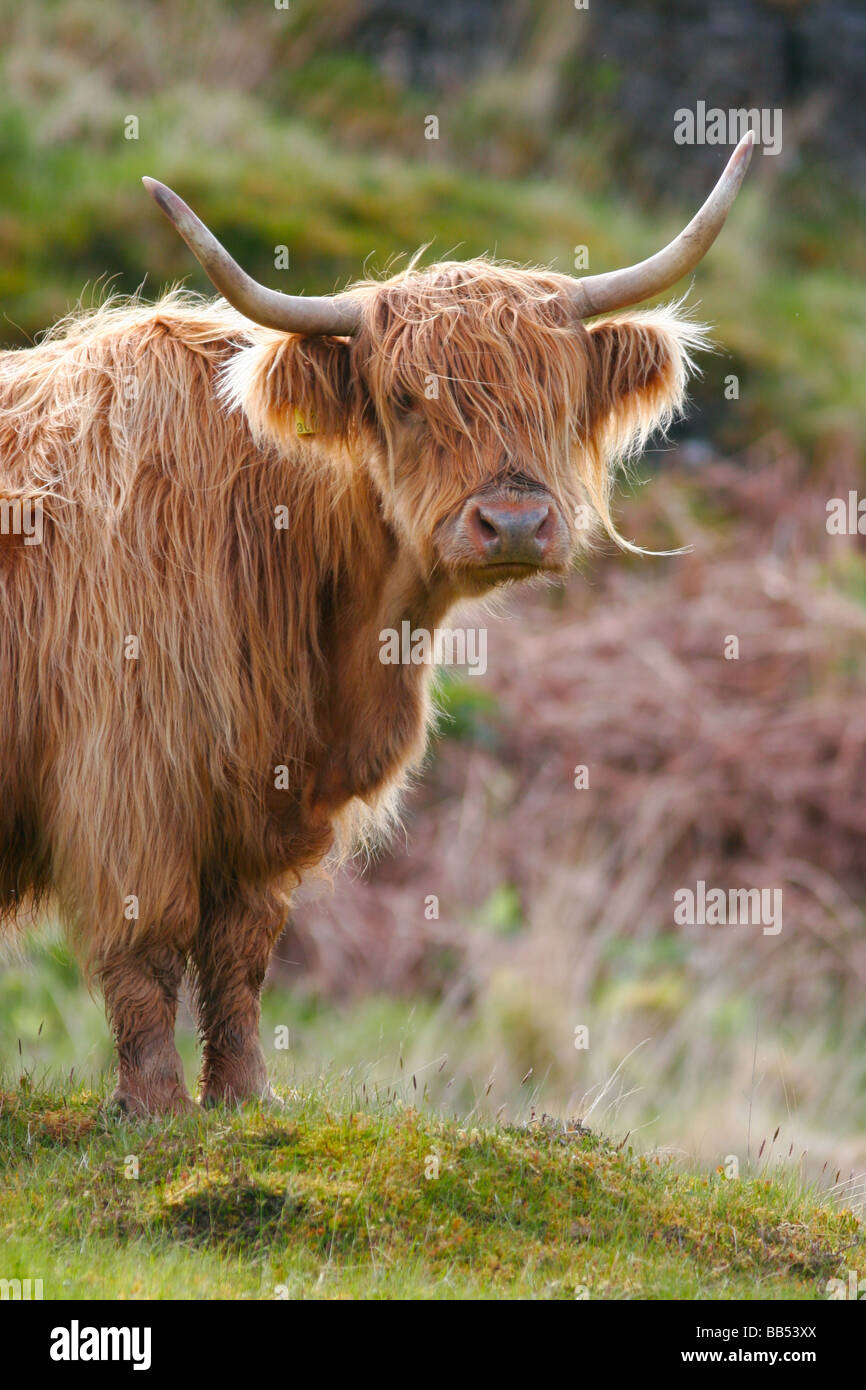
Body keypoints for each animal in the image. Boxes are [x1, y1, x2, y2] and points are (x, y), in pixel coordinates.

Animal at [0, 135, 750, 1112]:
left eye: (556, 398)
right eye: (404, 401)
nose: (513, 523)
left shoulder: (267, 798)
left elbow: (243, 950)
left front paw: (245, 1099)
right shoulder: (129, 773)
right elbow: (150, 944)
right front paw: (156, 1107)